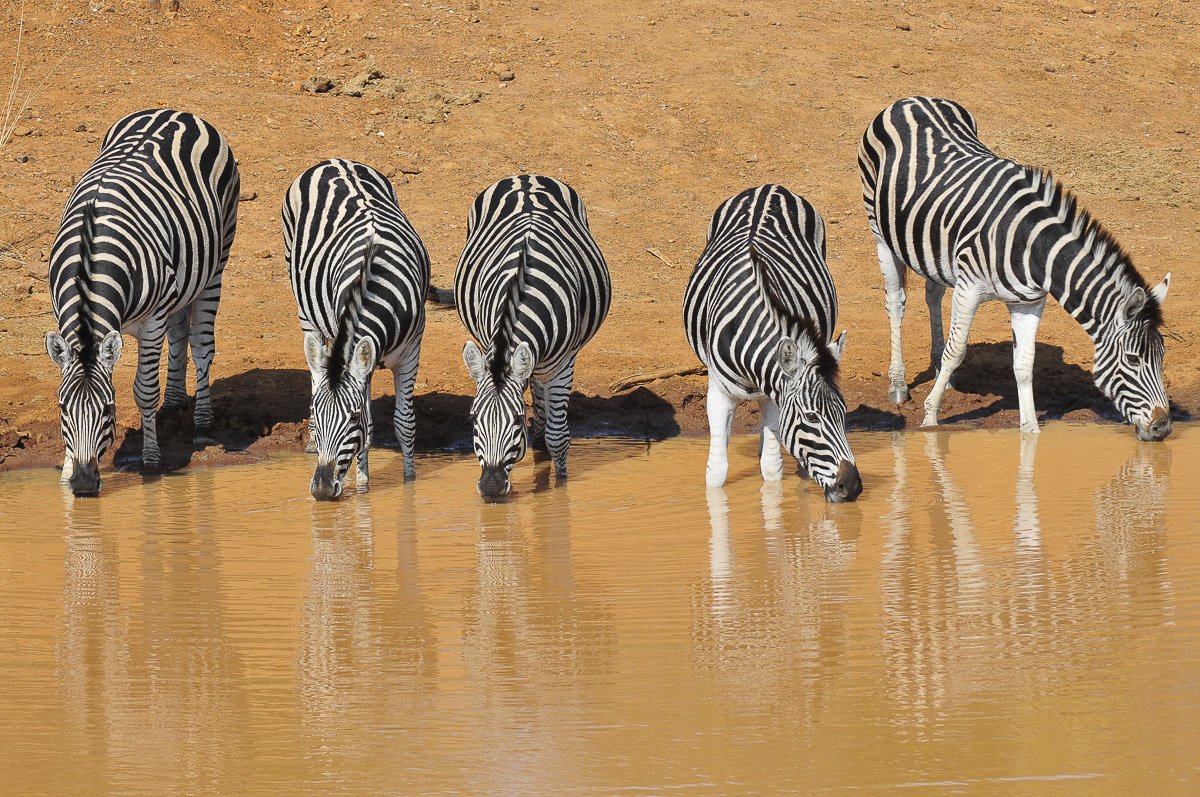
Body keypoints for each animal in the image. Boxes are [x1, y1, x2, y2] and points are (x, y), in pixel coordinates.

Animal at [45, 109, 239, 497]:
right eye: (61, 410)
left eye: (108, 410)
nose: (84, 485)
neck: (90, 257)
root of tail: (177, 111)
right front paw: (65, 475)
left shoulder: (152, 321)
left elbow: (145, 391)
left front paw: (151, 461)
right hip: (181, 282)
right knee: (179, 334)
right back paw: (175, 401)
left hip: (216, 265)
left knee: (201, 347)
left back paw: (202, 426)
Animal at [283, 159, 431, 501]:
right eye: (318, 415)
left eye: (350, 418)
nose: (322, 490)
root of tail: (333, 160)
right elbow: (371, 428)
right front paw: (362, 484)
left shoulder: (412, 349)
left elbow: (404, 423)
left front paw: (410, 482)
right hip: (304, 307)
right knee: (315, 367)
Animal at [455, 175, 611, 500]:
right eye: (473, 418)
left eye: (516, 419)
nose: (491, 488)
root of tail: (526, 177)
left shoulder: (564, 364)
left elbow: (559, 437)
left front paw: (559, 489)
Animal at [683, 185, 862, 503]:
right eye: (811, 417)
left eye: (843, 413)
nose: (852, 487)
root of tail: (770, 187)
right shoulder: (718, 392)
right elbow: (716, 472)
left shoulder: (775, 395)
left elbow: (771, 469)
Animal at [859, 96, 1172, 441]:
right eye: (1132, 359)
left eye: (1162, 356)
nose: (1163, 428)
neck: (1033, 246)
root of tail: (913, 98)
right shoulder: (969, 289)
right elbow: (957, 350)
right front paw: (930, 418)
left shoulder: (1029, 303)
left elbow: (1024, 363)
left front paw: (1030, 431)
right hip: (880, 232)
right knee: (896, 303)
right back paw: (898, 383)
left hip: (931, 247)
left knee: (933, 294)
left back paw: (943, 375)